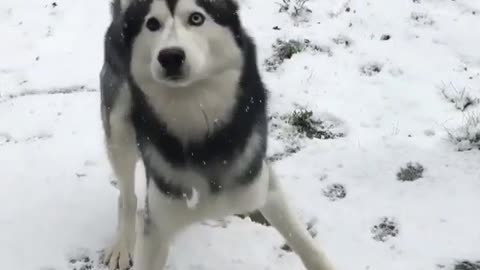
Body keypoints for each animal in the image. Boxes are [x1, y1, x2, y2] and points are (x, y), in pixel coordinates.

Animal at [100, 0, 336, 268]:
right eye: (152, 24)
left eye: (196, 18)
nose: (170, 56)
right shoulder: (157, 226)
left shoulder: (263, 185)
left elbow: (303, 241)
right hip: (119, 127)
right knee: (127, 196)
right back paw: (122, 245)